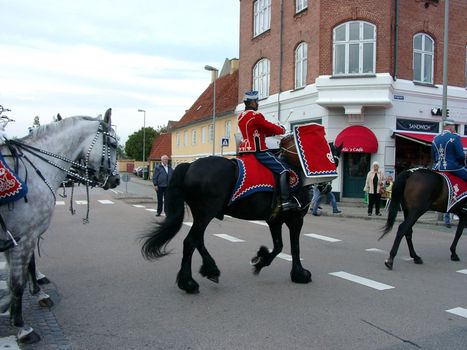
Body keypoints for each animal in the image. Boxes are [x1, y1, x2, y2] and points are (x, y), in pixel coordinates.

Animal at [0, 108, 119, 342]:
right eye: (112, 144)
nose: (116, 179)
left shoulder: (18, 238)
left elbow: (19, 274)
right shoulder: (23, 238)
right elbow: (17, 281)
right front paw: (21, 326)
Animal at [142, 139, 340, 292]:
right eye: (334, 160)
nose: (327, 189)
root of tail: (190, 165)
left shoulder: (274, 220)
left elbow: (279, 246)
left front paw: (261, 259)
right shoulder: (295, 219)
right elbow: (294, 247)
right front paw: (299, 274)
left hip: (202, 215)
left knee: (198, 241)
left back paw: (211, 270)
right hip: (206, 213)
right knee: (190, 242)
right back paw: (189, 283)